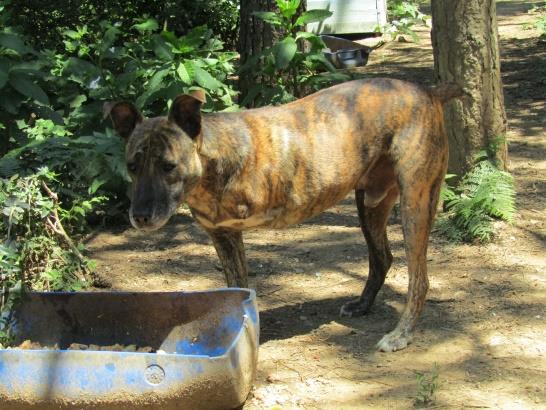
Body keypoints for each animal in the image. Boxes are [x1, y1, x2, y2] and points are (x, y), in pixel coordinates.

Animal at [105, 78, 460, 350]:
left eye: (169, 166)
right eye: (132, 166)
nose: (140, 217)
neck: (212, 162)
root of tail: (427, 92)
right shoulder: (224, 235)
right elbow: (237, 287)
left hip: (416, 203)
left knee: (419, 279)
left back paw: (401, 334)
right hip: (371, 204)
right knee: (382, 257)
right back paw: (362, 304)